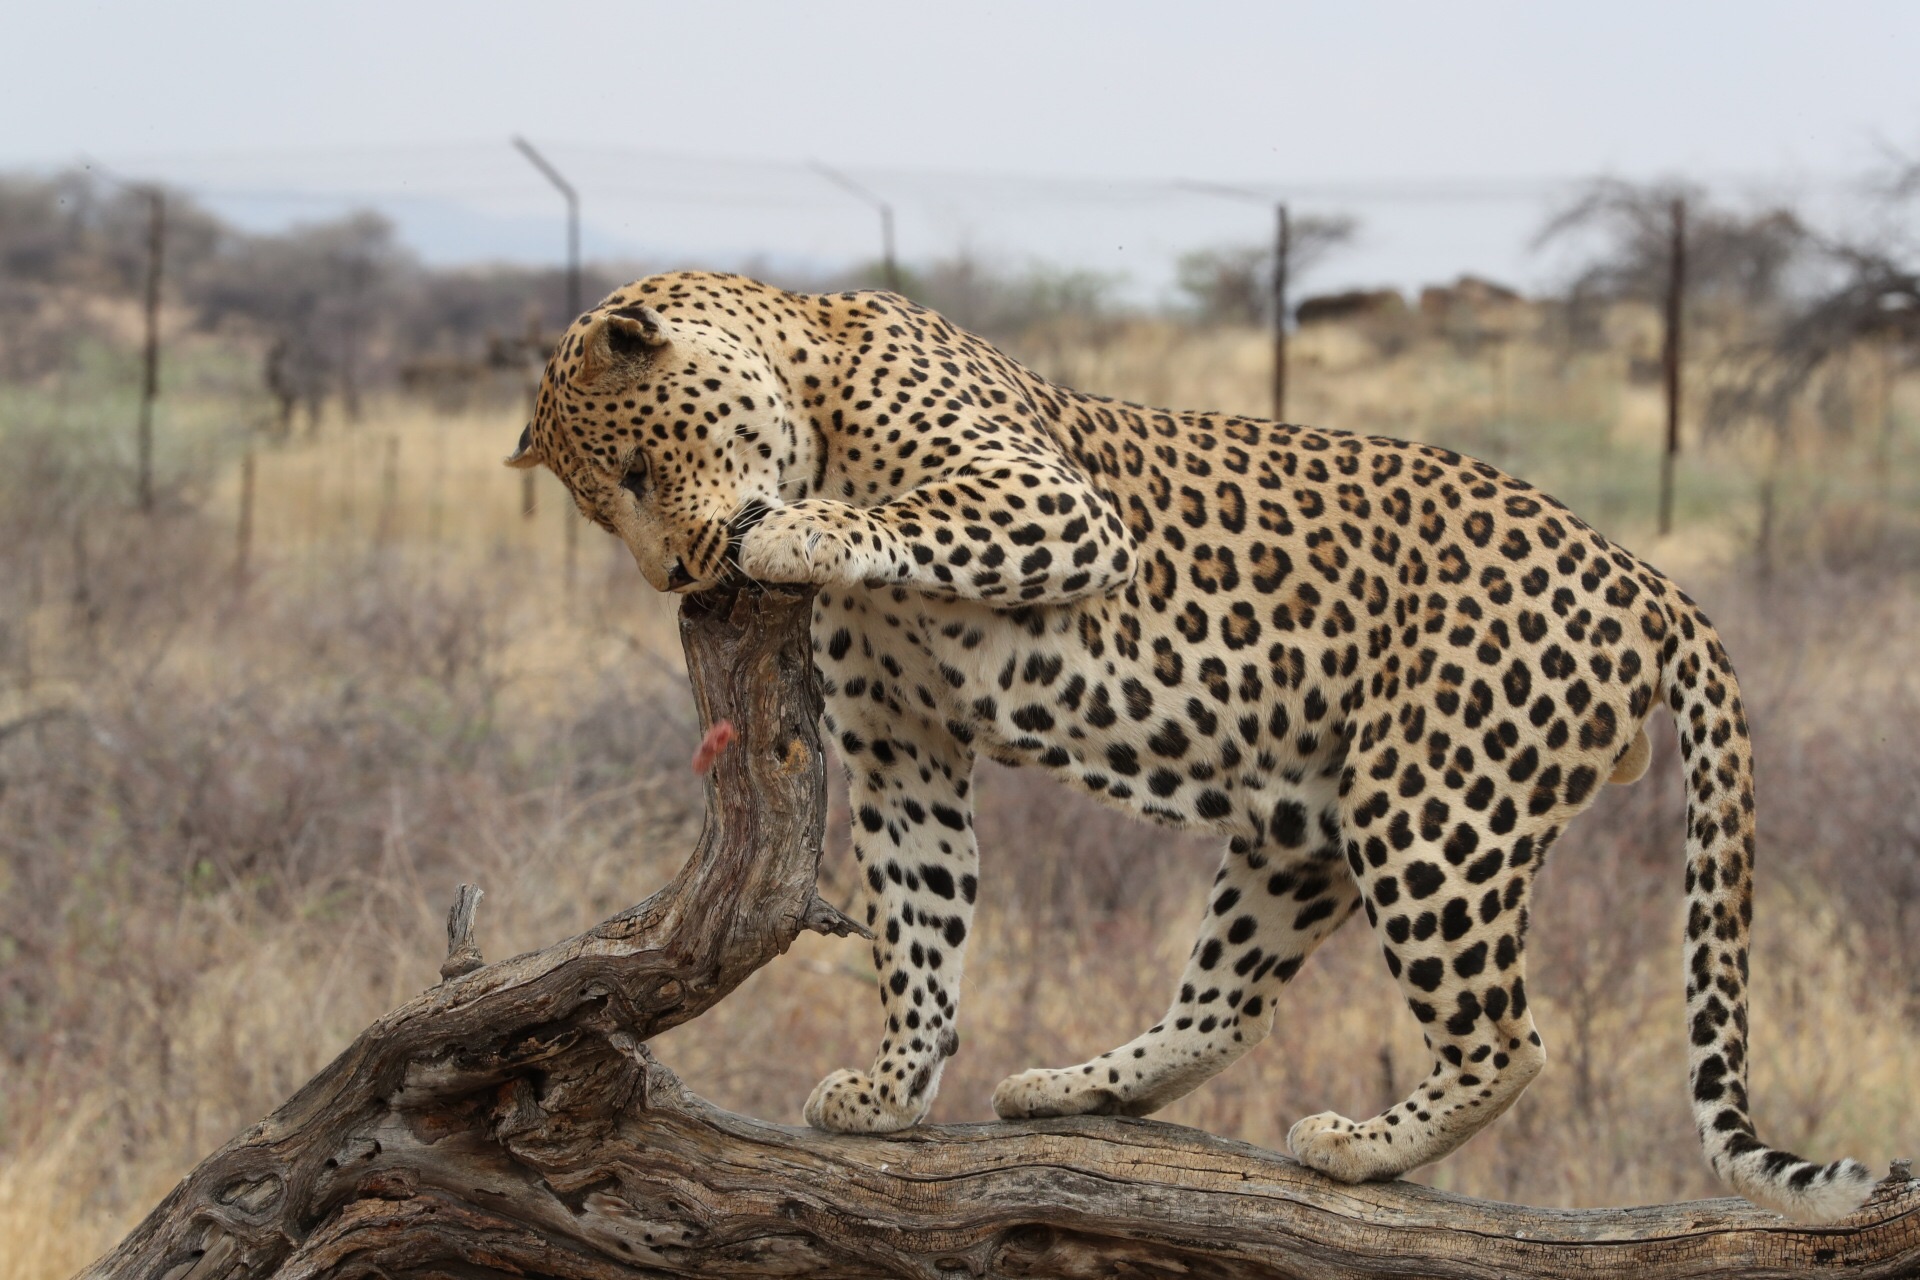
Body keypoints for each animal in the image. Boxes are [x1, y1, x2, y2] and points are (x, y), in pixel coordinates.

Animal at [506, 270, 1873, 1220]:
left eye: (638, 469)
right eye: (597, 505)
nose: (679, 578)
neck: (811, 369)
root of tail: (1650, 577)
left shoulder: (1049, 506)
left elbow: (898, 514)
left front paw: (794, 529)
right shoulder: (905, 749)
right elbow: (919, 923)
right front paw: (894, 1091)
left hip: (1432, 808)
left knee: (1506, 1037)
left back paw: (1360, 1145)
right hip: (1305, 827)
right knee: (1231, 1001)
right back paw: (1078, 1086)